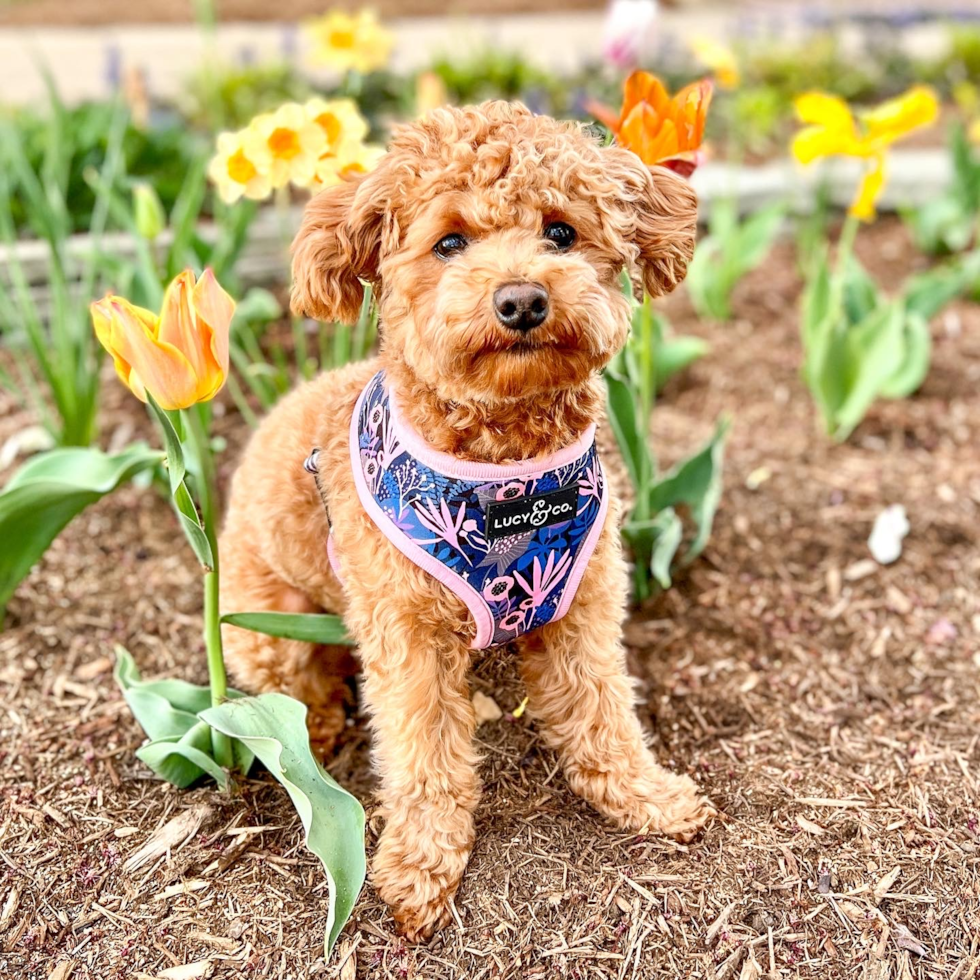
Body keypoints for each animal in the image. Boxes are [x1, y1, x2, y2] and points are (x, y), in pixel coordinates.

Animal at [220, 101, 712, 940]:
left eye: (561, 232)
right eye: (448, 243)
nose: (522, 301)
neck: (508, 480)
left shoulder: (583, 603)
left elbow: (602, 711)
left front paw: (643, 796)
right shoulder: (406, 634)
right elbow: (422, 753)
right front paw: (420, 864)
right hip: (264, 626)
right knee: (299, 682)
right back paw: (317, 729)